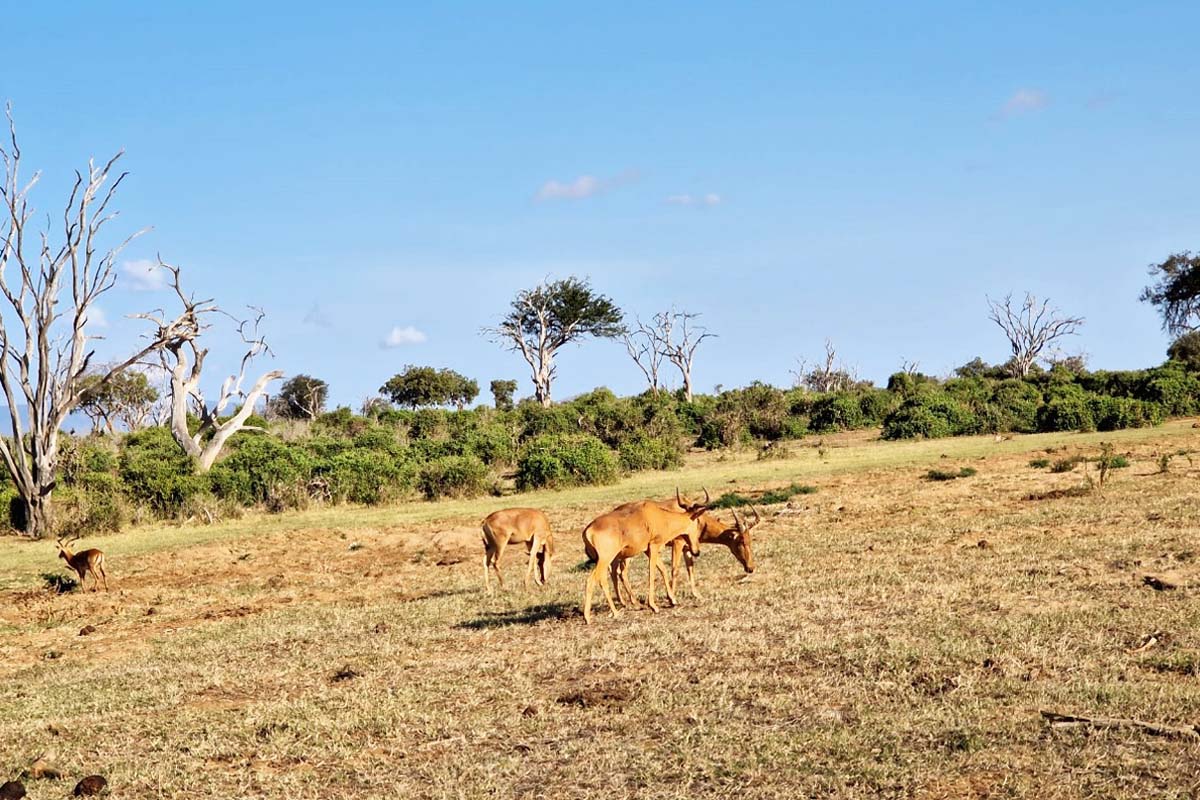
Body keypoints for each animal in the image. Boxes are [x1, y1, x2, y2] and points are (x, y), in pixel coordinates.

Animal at [581, 488, 709, 624]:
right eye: (697, 522)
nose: (696, 551)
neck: (658, 516)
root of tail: (588, 530)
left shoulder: (648, 550)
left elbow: (663, 570)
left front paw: (673, 600)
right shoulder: (654, 546)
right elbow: (652, 573)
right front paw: (654, 606)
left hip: (606, 560)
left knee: (606, 578)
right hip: (606, 559)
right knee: (593, 579)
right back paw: (595, 616)